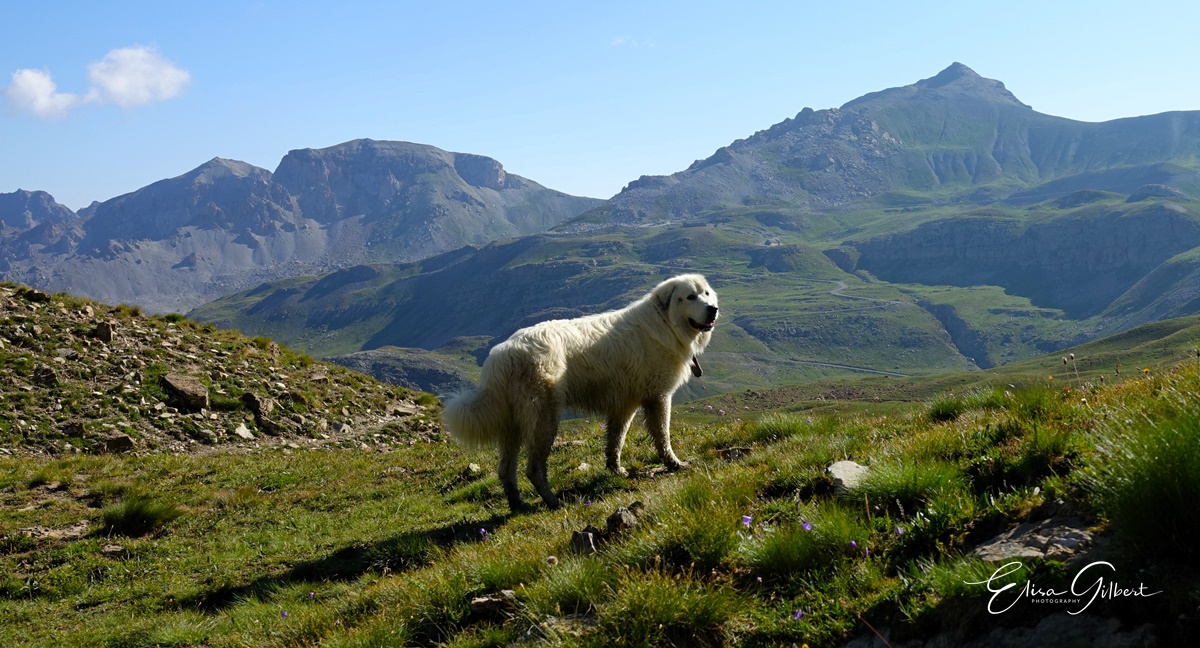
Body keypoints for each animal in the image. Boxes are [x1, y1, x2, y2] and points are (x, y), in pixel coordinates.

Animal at [446, 273, 715, 511]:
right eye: (690, 297)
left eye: (706, 293)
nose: (713, 308)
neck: (665, 323)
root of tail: (504, 354)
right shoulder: (658, 397)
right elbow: (662, 435)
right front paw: (675, 464)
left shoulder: (624, 406)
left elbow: (616, 441)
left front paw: (616, 471)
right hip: (544, 418)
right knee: (534, 468)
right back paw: (552, 502)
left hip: (513, 425)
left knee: (505, 469)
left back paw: (518, 504)